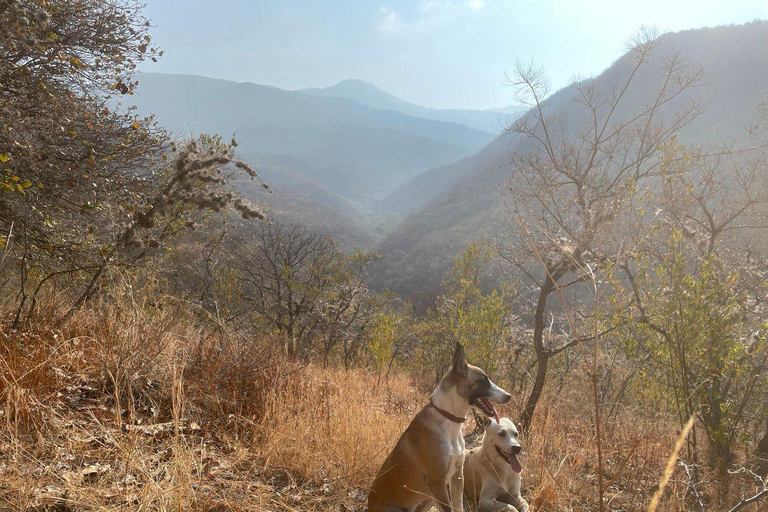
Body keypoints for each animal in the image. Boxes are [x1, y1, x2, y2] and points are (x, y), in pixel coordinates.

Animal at [366, 344, 510, 512]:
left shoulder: (456, 478)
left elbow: (458, 506)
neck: (448, 418)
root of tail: (368, 506)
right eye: (483, 380)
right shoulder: (439, 483)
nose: (509, 396)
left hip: (429, 498)